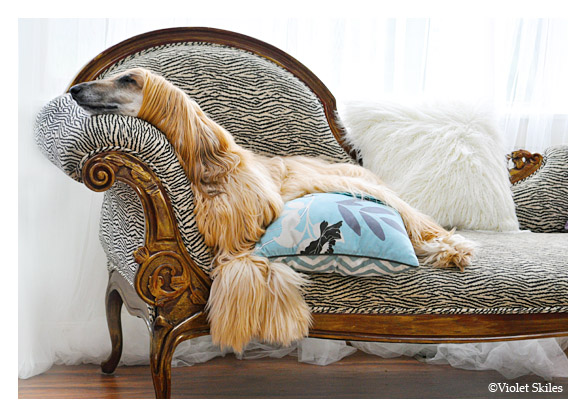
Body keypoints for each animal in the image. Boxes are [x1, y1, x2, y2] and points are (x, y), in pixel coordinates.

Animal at [69, 68, 475, 352]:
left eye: (128, 80)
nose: (74, 89)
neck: (208, 170)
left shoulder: (255, 220)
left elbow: (245, 263)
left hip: (364, 189)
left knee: (424, 226)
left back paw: (451, 250)